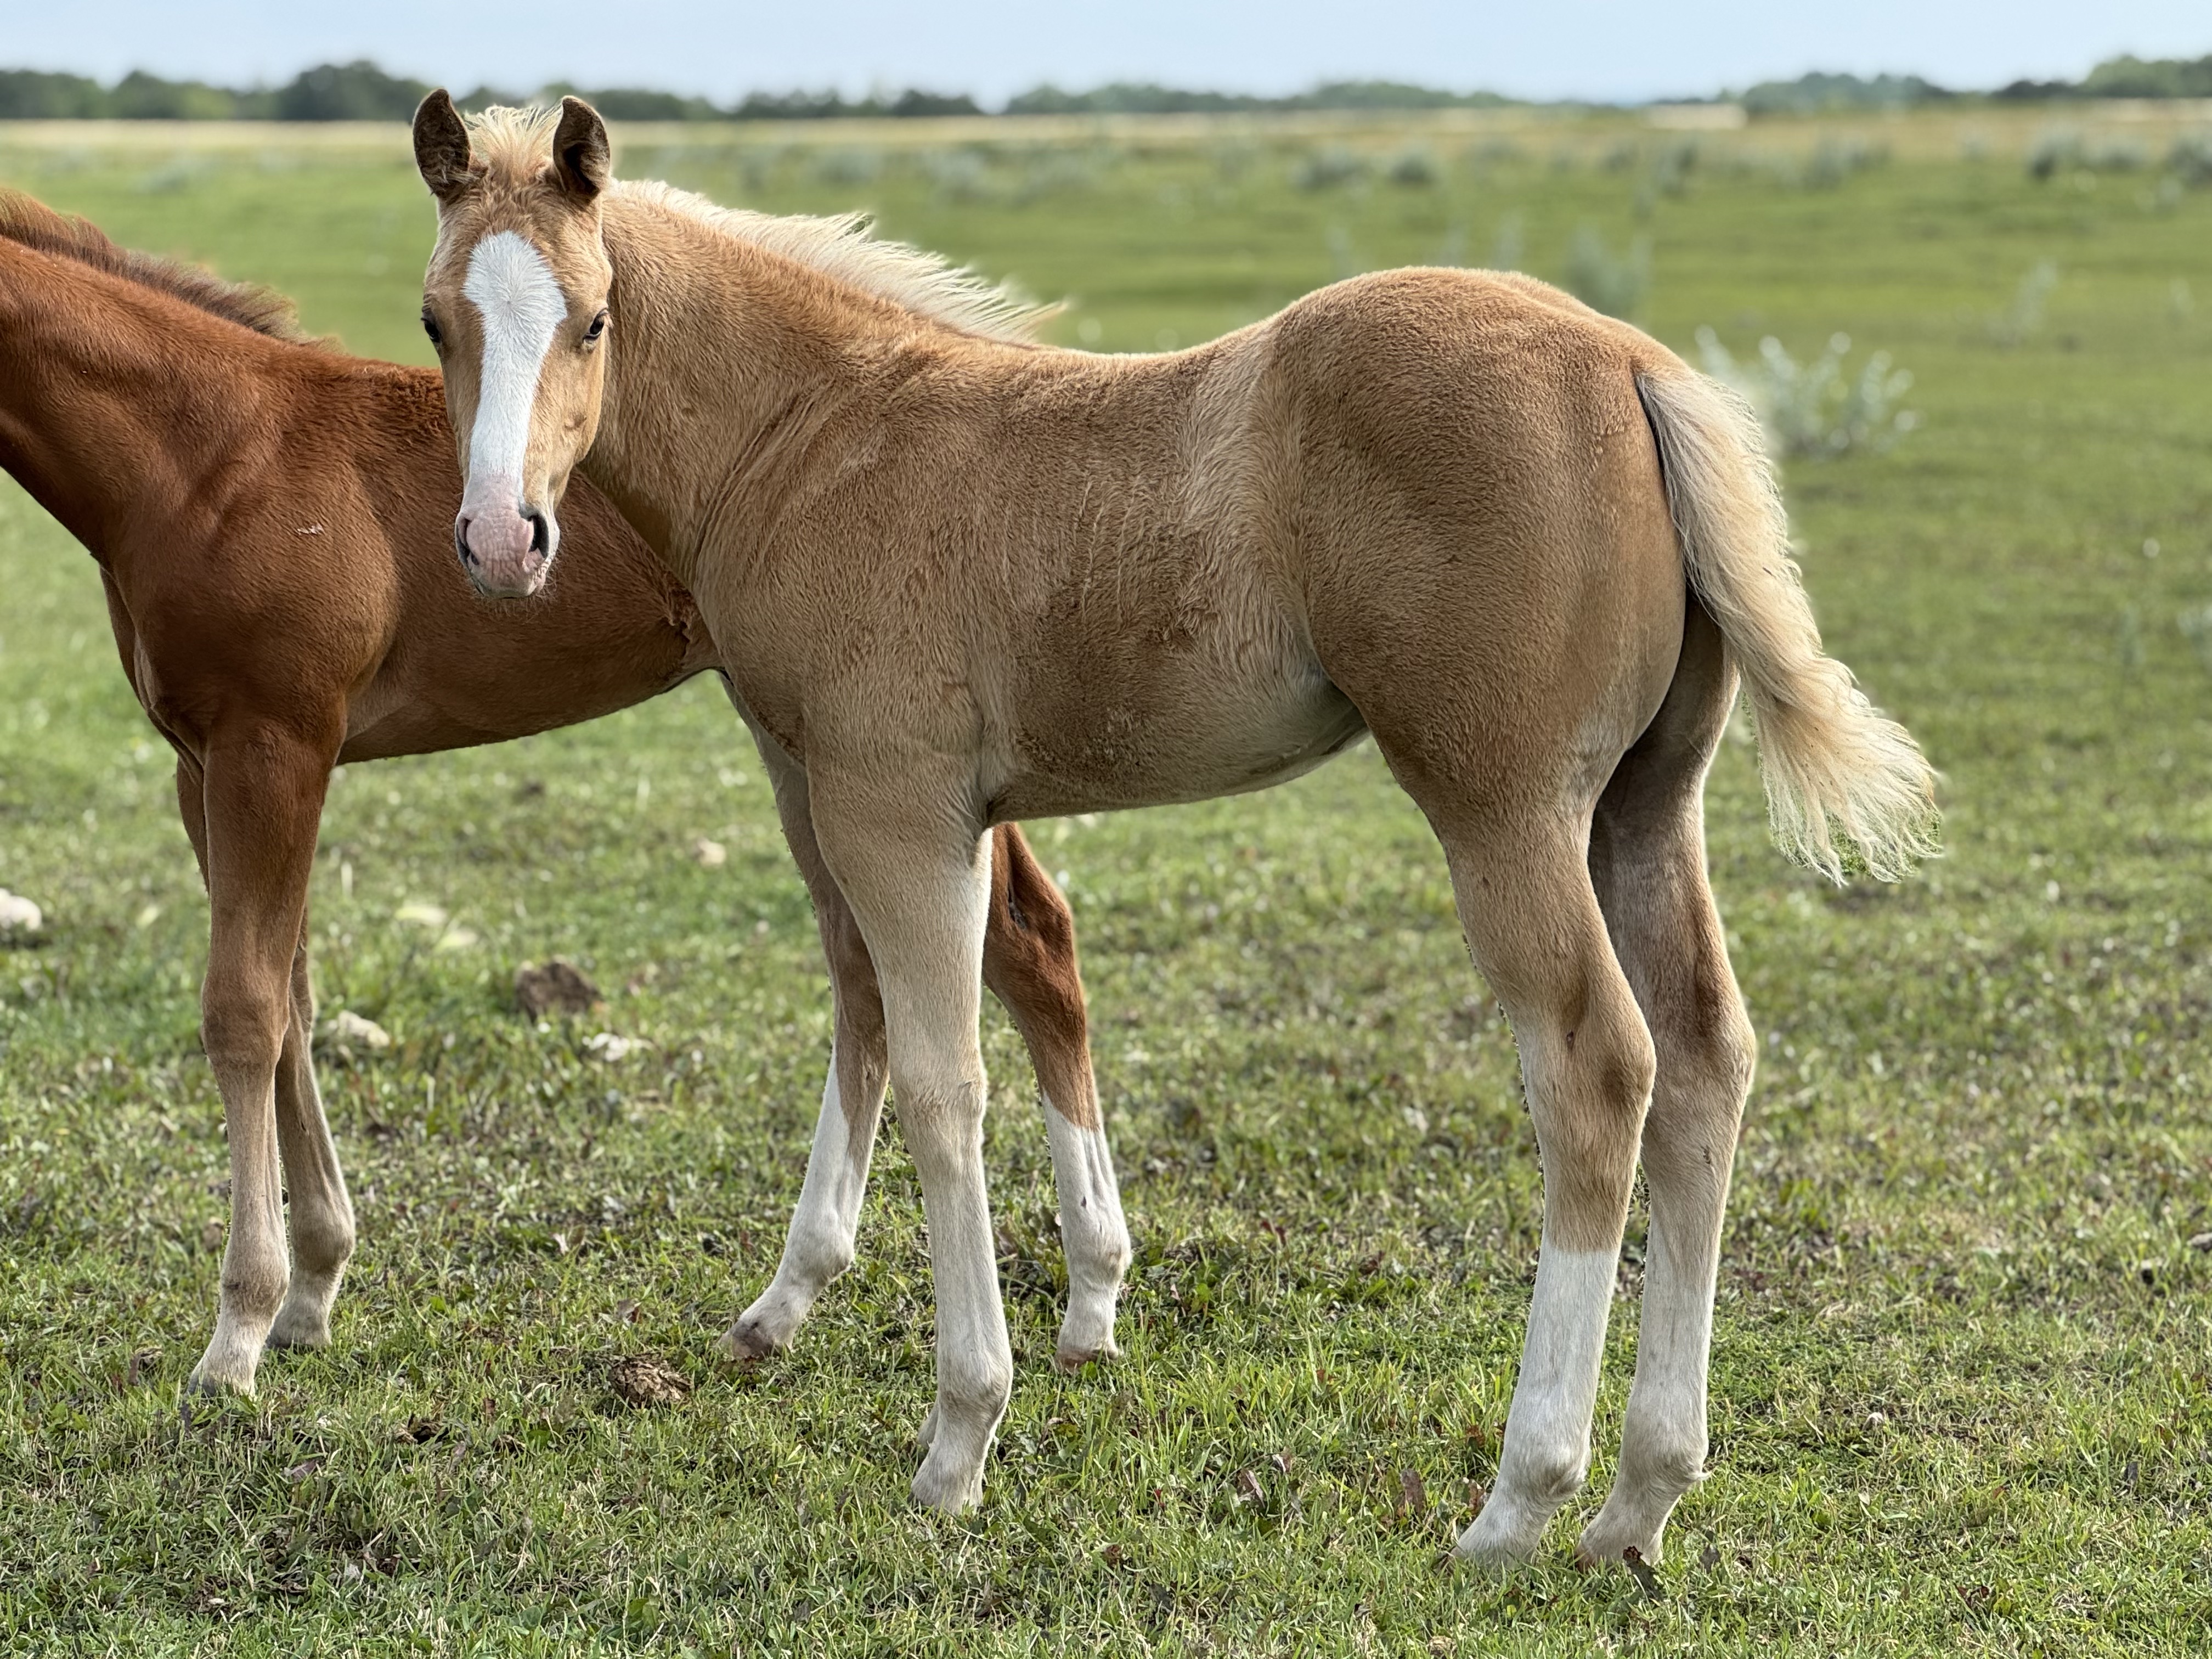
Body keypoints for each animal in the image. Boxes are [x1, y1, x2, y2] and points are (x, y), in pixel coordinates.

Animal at [0, 190, 1127, 1405]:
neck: (210, 456)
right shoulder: (203, 765)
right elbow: (291, 999)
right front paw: (313, 1286)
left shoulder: (275, 747)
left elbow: (245, 1013)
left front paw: (239, 1331)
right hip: (818, 744)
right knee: (899, 965)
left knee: (1027, 941)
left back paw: (1088, 1297)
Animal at [408, 94, 1936, 1568]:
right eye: (436, 320)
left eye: (592, 318)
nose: (501, 540)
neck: (812, 433)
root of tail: (1632, 362)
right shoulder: (864, 796)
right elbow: (896, 1013)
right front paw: (836, 1309)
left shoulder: (892, 806)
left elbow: (943, 1084)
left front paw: (960, 1440)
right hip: (1644, 805)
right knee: (1707, 1062)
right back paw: (1643, 1496)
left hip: (1504, 809)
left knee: (1599, 1072)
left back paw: (1521, 1500)